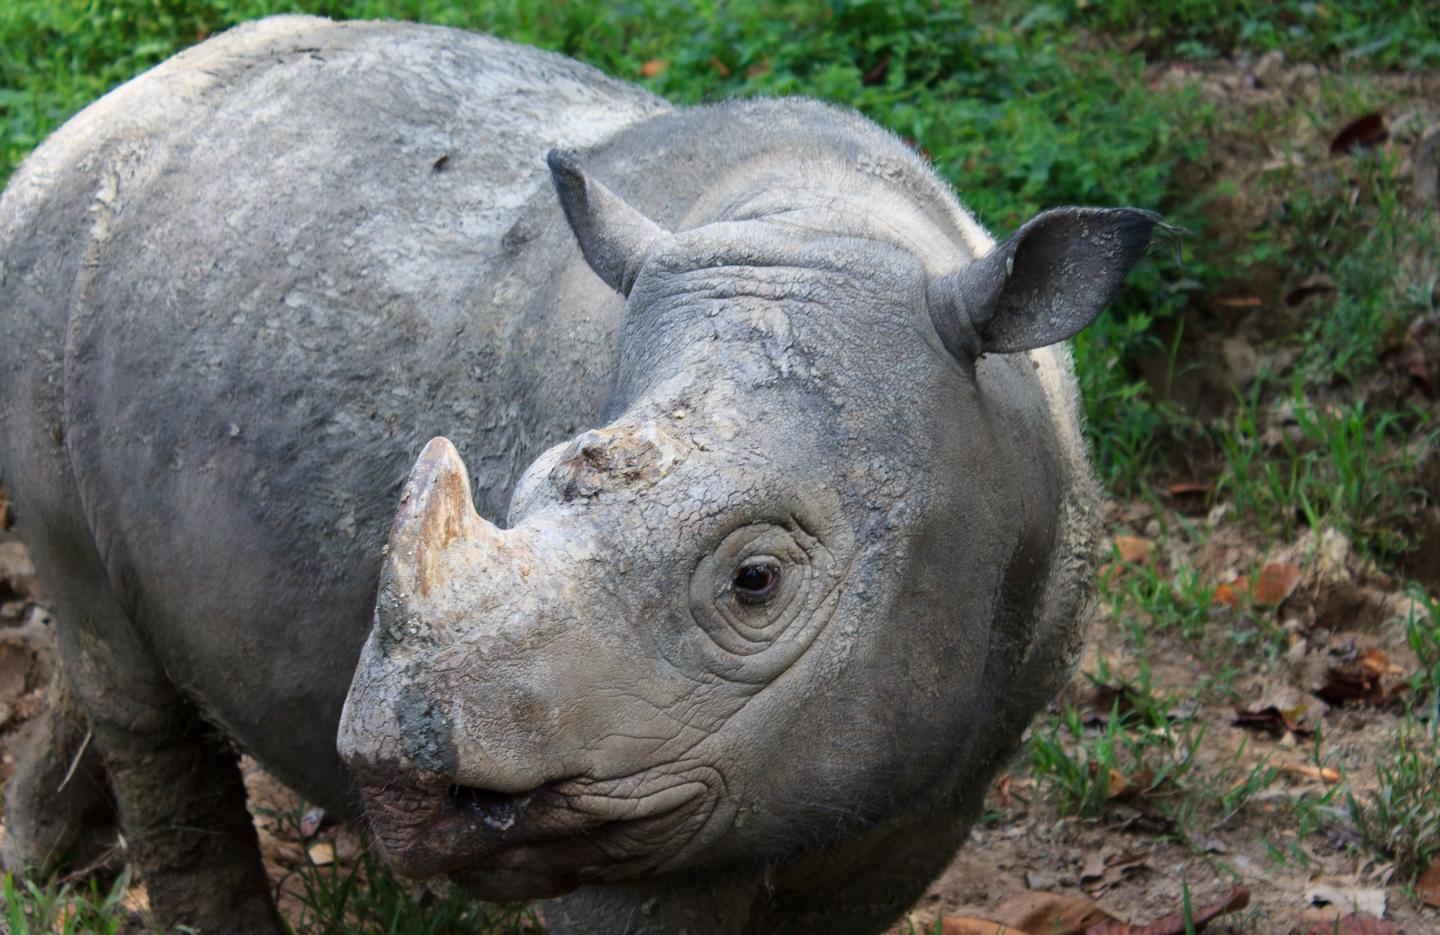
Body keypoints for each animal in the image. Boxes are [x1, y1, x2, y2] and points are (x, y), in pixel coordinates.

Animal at [0, 14, 1152, 933]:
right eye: (519, 484)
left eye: (756, 581)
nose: (400, 773)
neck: (823, 224)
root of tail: (87, 123)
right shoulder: (620, 810)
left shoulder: (938, 768)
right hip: (44, 278)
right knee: (119, 659)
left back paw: (38, 859)